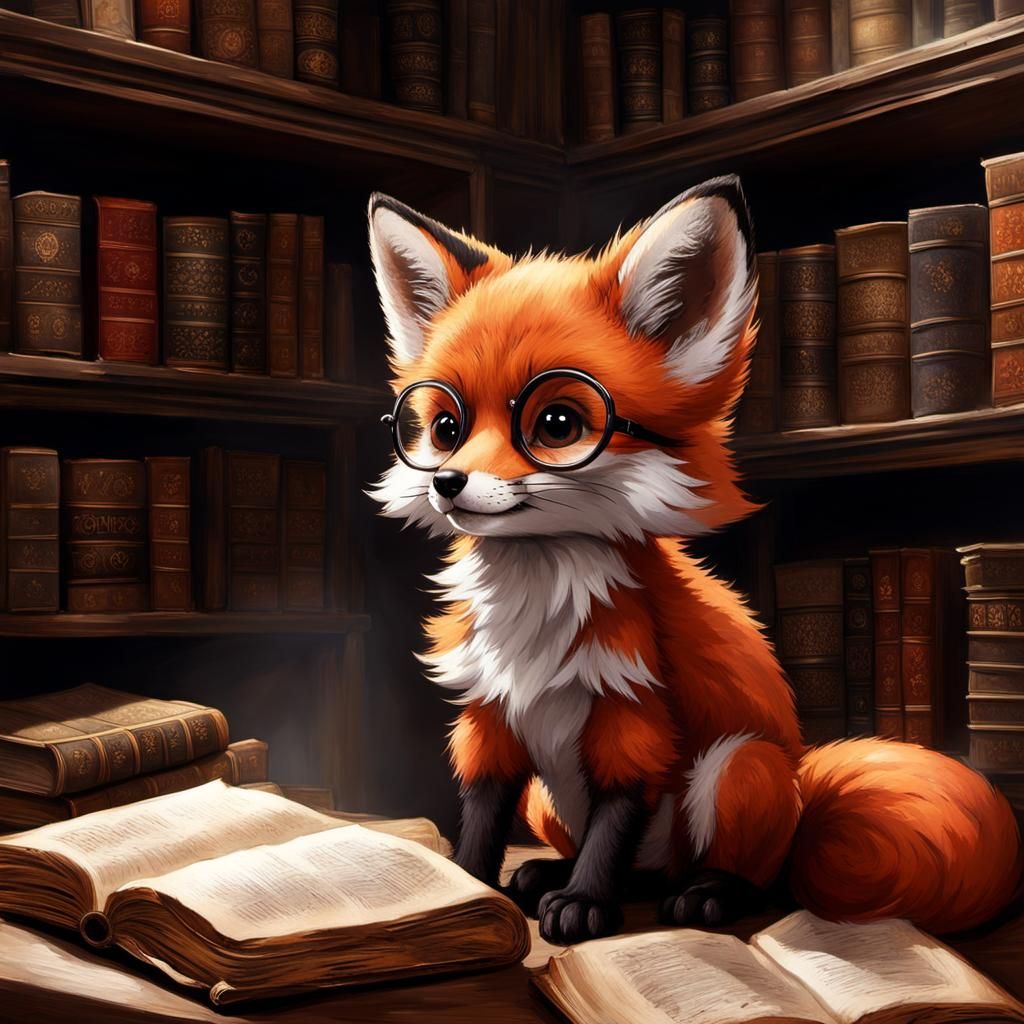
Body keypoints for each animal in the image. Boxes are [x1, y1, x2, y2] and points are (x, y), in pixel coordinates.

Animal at [367, 176, 1023, 946]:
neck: (534, 616)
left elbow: (615, 819)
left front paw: (584, 905)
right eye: (446, 427)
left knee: (753, 875)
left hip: (738, 768)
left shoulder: (632, 711)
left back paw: (703, 892)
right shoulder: (491, 718)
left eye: (556, 424)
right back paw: (548, 874)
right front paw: (468, 888)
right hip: (549, 800)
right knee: (631, 865)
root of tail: (801, 786)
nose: (446, 483)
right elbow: (480, 816)